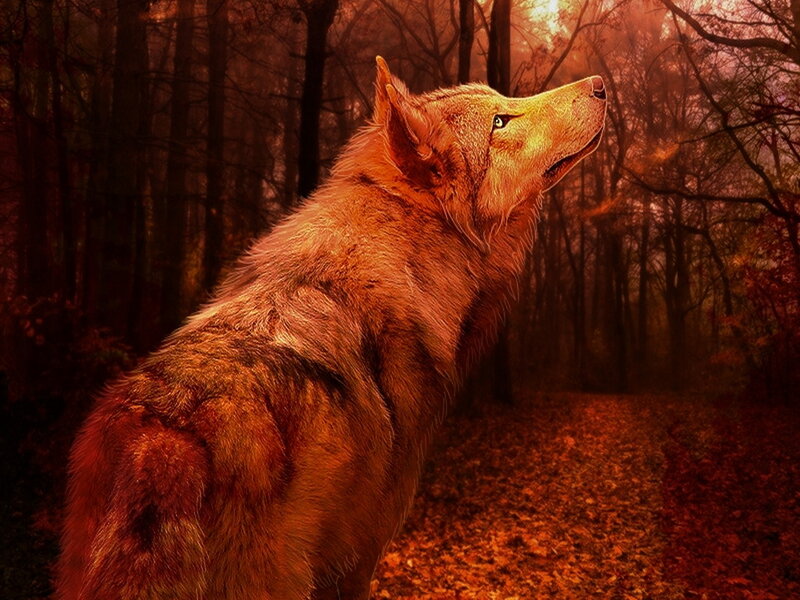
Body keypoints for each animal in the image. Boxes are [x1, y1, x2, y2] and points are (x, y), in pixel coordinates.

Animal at [56, 57, 606, 599]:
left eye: (503, 104)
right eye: (500, 122)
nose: (601, 84)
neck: (410, 253)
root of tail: (162, 442)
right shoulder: (358, 557)